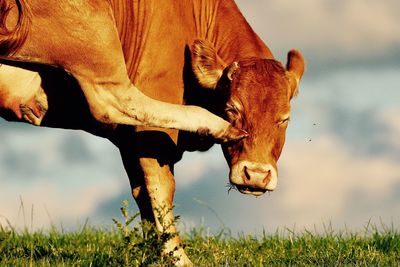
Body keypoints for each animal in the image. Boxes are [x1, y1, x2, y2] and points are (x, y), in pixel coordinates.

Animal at [0, 1, 304, 266]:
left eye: (284, 119)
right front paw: (177, 257)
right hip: (96, 33)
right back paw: (216, 126)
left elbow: (142, 193)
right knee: (113, 100)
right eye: (232, 108)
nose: (256, 175)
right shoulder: (153, 123)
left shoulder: (131, 141)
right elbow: (161, 188)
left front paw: (153, 253)